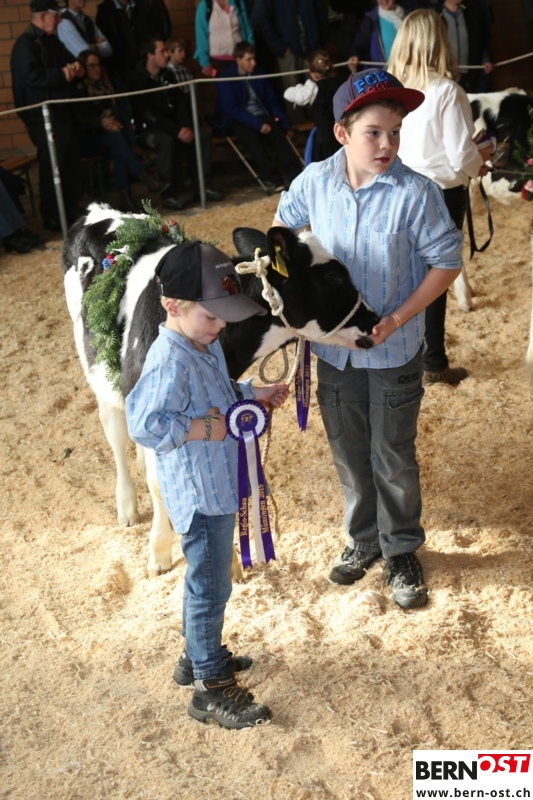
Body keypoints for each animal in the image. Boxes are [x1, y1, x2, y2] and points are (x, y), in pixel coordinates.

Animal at [61, 202, 381, 576]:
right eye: (333, 277)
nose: (376, 322)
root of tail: (97, 210)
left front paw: (233, 561)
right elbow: (159, 487)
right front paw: (159, 552)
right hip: (101, 375)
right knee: (114, 435)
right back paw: (126, 505)